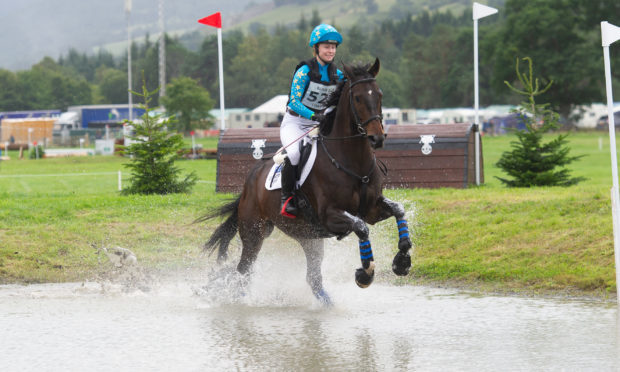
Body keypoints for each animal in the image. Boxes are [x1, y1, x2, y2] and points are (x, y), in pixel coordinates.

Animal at [202, 57, 412, 302]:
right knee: (243, 271)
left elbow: (398, 209)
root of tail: (249, 183)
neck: (352, 161)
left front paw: (402, 261)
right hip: (254, 233)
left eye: (379, 95)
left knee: (313, 278)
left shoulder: (371, 209)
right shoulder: (330, 216)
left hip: (307, 236)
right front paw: (365, 274)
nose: (376, 138)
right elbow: (361, 228)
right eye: (358, 97)